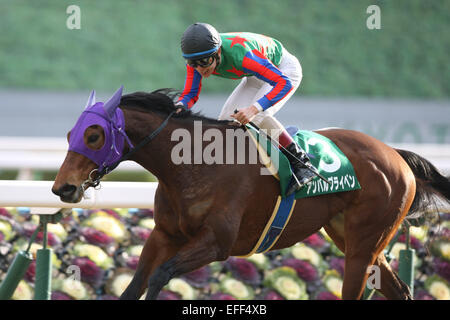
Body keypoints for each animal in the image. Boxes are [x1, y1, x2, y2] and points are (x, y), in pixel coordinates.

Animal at [51, 87, 448, 300]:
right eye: (70, 133)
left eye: (94, 135)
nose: (62, 188)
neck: (191, 165)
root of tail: (395, 155)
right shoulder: (163, 234)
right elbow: (134, 286)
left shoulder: (218, 243)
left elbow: (162, 274)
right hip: (353, 239)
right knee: (399, 289)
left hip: (363, 245)